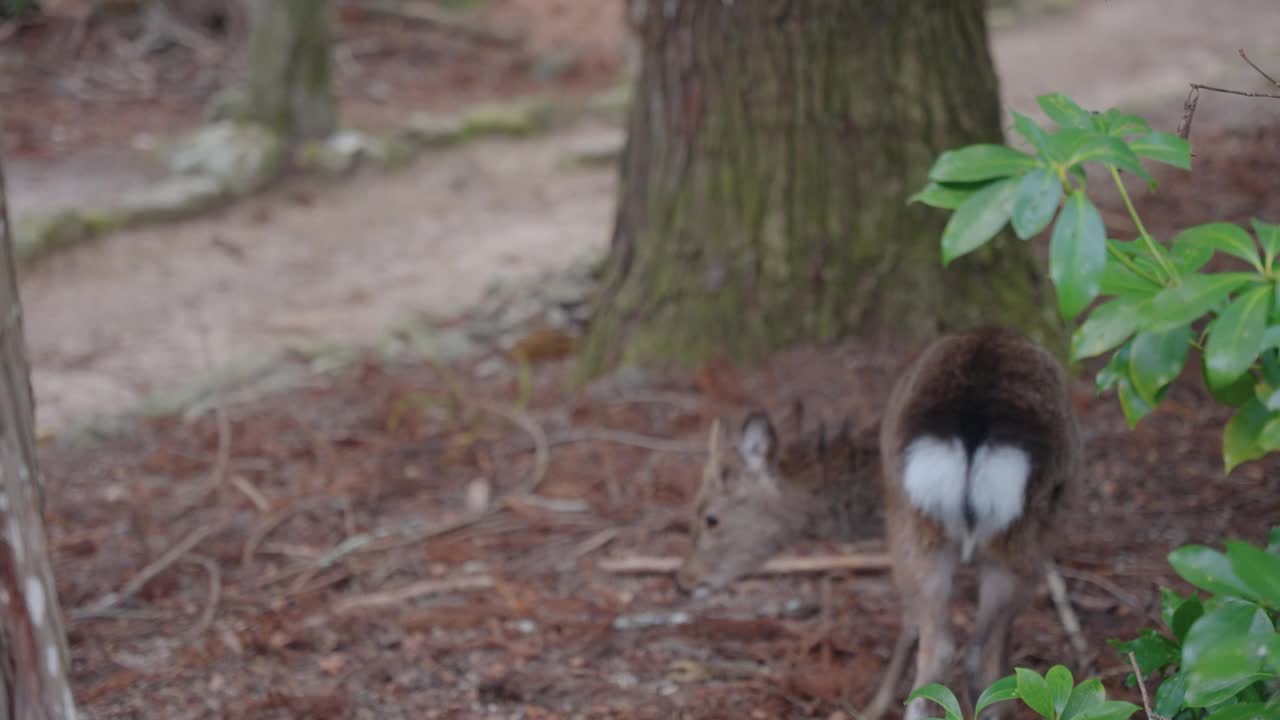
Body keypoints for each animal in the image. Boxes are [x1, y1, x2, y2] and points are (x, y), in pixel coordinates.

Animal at [675, 326, 1085, 717]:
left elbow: (911, 623)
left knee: (945, 646)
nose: (684, 581)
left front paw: (873, 707)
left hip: (925, 528)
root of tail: (975, 429)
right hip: (1012, 537)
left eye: (710, 518)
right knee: (972, 652)